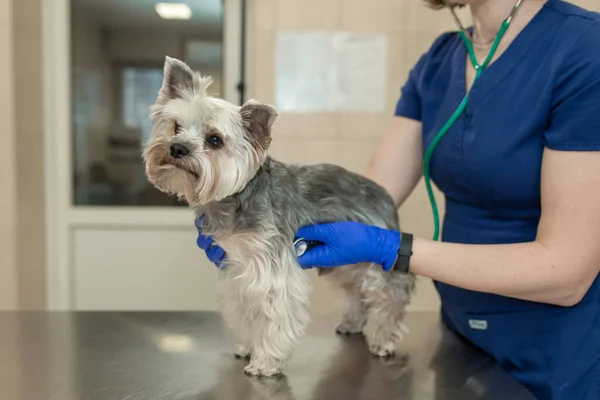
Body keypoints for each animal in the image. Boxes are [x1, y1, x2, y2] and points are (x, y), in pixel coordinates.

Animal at [143, 57, 414, 378]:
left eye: (214, 140)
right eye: (176, 126)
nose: (176, 147)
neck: (236, 198)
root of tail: (383, 193)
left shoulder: (273, 269)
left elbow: (274, 316)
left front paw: (265, 361)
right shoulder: (236, 268)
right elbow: (244, 309)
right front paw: (248, 346)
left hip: (375, 256)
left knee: (389, 295)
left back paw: (384, 339)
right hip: (346, 259)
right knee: (355, 291)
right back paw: (353, 323)